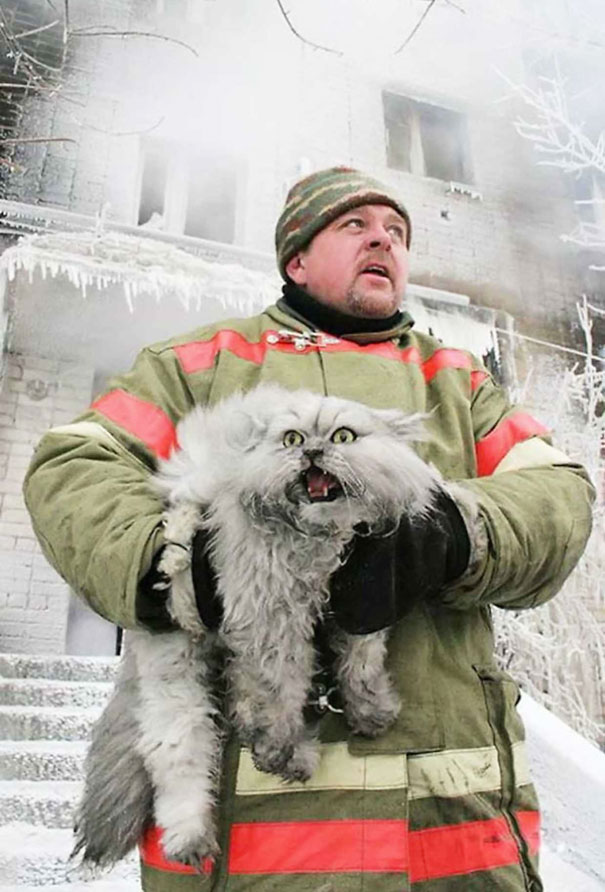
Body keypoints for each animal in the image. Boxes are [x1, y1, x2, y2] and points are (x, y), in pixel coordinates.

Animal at [74, 382, 444, 872]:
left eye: (343, 437)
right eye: (292, 439)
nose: (312, 452)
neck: (317, 543)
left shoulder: (367, 599)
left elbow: (359, 665)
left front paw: (370, 711)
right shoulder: (271, 617)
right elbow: (282, 693)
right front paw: (279, 747)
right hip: (178, 671)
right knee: (177, 752)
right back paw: (191, 836)